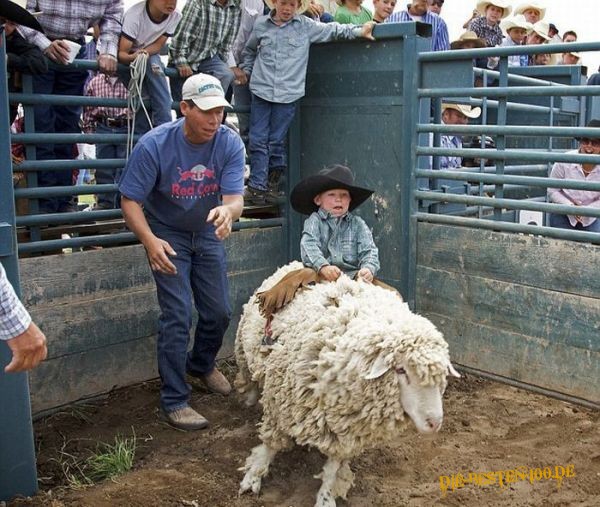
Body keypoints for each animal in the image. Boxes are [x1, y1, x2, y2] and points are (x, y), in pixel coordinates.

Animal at [234, 262, 460, 507]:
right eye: (400, 370)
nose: (434, 423)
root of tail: (292, 264)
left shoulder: (349, 431)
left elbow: (333, 467)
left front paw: (325, 497)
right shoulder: (280, 406)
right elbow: (270, 445)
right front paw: (252, 478)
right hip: (243, 350)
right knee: (249, 378)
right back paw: (249, 400)